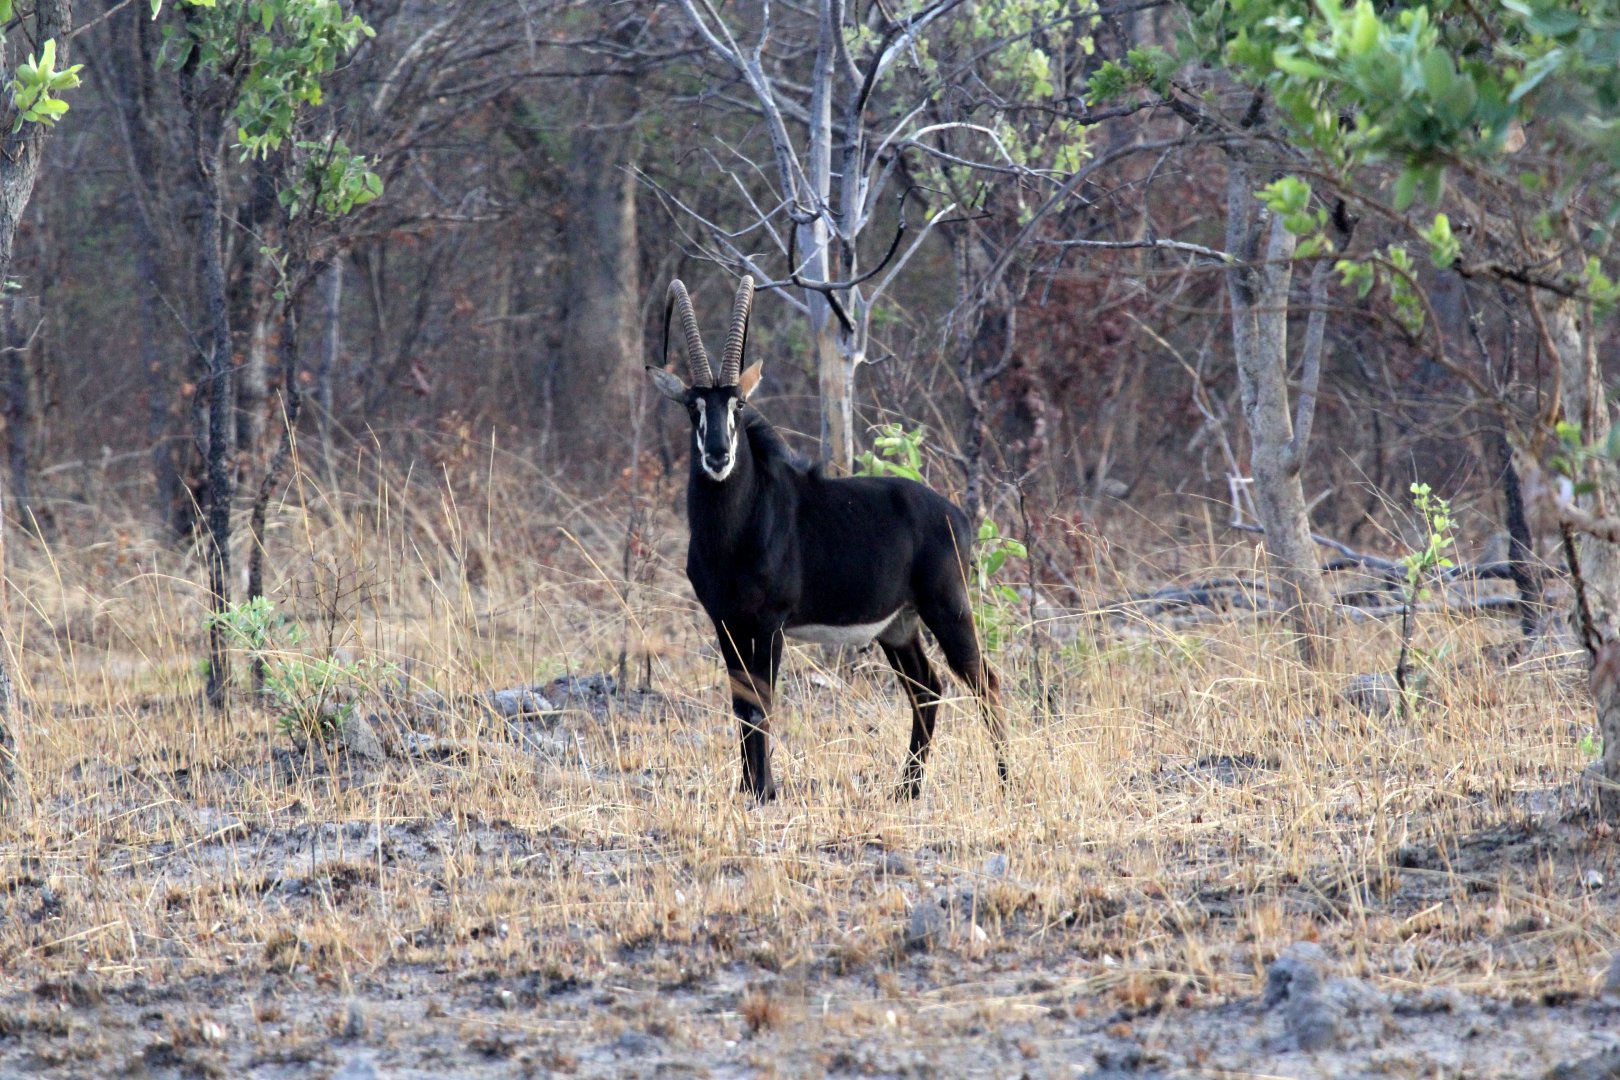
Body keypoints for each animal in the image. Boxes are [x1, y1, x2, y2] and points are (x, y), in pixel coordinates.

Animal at [648, 275, 1009, 801]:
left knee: (985, 682)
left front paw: (765, 791)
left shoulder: (769, 622)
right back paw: (906, 789)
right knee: (927, 688)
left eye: (738, 404)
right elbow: (741, 704)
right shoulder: (726, 621)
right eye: (693, 406)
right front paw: (747, 788)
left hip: (948, 607)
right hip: (898, 626)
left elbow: (762, 703)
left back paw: (1006, 781)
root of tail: (958, 517)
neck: (734, 532)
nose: (718, 455)